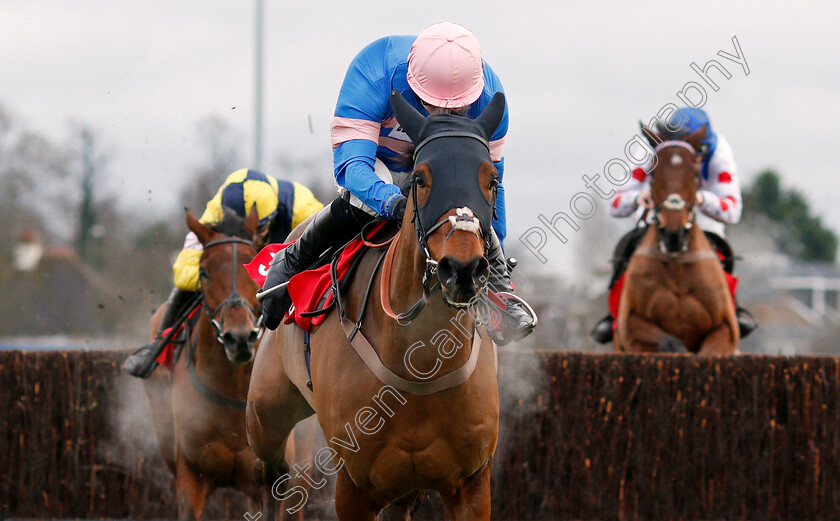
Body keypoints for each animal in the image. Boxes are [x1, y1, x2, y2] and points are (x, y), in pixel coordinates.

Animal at [246, 91, 508, 516]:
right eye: (420, 179)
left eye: (492, 181)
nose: (463, 269)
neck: (420, 365)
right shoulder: (354, 485)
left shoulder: (470, 483)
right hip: (265, 413)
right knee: (273, 475)